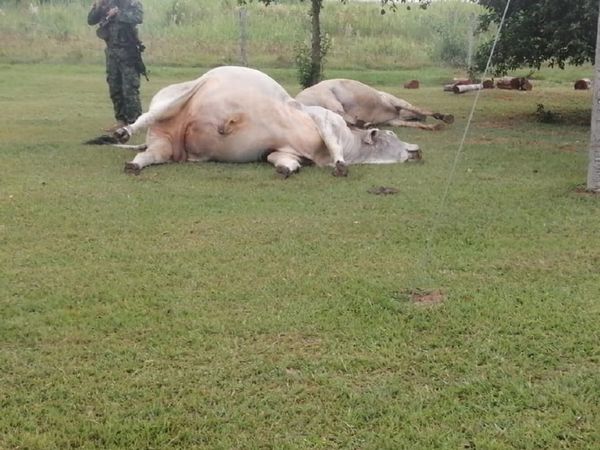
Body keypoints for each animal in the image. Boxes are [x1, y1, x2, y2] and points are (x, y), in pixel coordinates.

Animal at [86, 67, 422, 176]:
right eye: (391, 137)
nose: (417, 150)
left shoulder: (281, 150)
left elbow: (282, 160)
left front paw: (287, 170)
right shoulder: (325, 119)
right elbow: (333, 143)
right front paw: (340, 166)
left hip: (165, 146)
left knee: (150, 154)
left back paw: (135, 165)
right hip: (176, 98)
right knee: (142, 119)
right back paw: (122, 131)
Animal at [296, 78, 454, 131]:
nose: (423, 119)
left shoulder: (393, 120)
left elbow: (415, 122)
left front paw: (434, 125)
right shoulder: (395, 105)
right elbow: (416, 110)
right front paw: (442, 118)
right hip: (330, 99)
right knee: (343, 115)